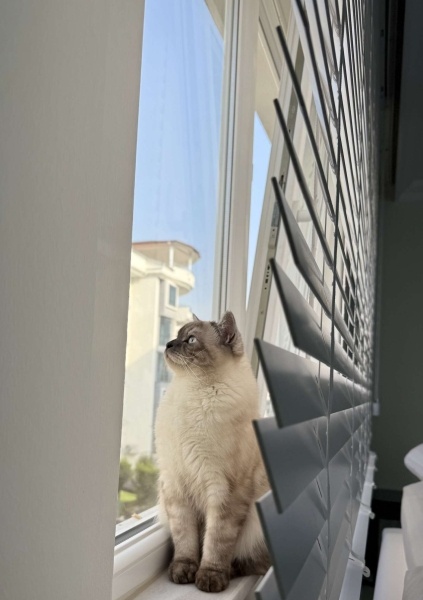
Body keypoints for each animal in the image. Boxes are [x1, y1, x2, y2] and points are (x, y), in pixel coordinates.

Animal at [154, 312, 270, 592]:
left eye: (190, 340)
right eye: (177, 335)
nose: (169, 344)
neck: (191, 393)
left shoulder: (224, 489)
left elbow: (215, 543)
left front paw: (208, 578)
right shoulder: (177, 486)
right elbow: (185, 541)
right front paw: (183, 572)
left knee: (254, 562)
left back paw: (229, 572)